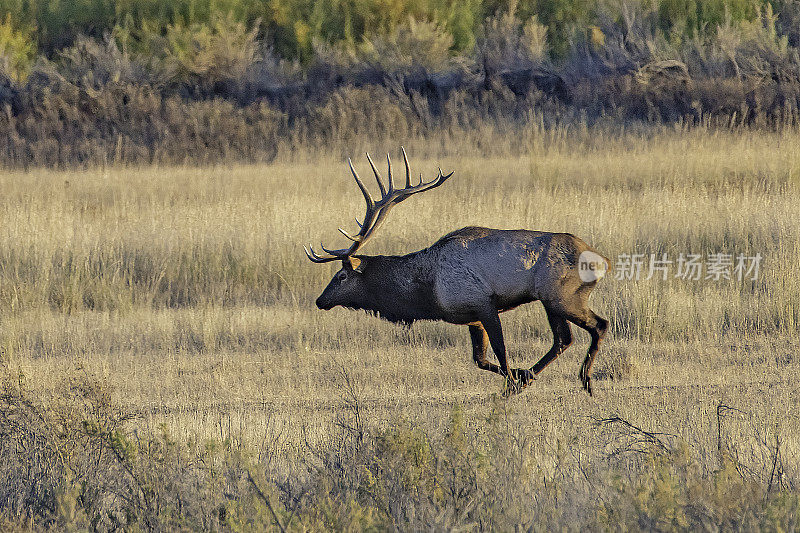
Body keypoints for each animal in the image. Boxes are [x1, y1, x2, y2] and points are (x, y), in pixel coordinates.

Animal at [304, 150, 608, 394]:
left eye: (341, 276)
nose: (320, 300)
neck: (428, 292)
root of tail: (602, 260)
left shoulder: (483, 303)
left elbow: (500, 351)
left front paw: (512, 383)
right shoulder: (471, 317)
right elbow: (481, 360)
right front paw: (521, 375)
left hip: (562, 295)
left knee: (598, 326)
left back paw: (585, 380)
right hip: (550, 300)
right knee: (563, 338)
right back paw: (540, 375)